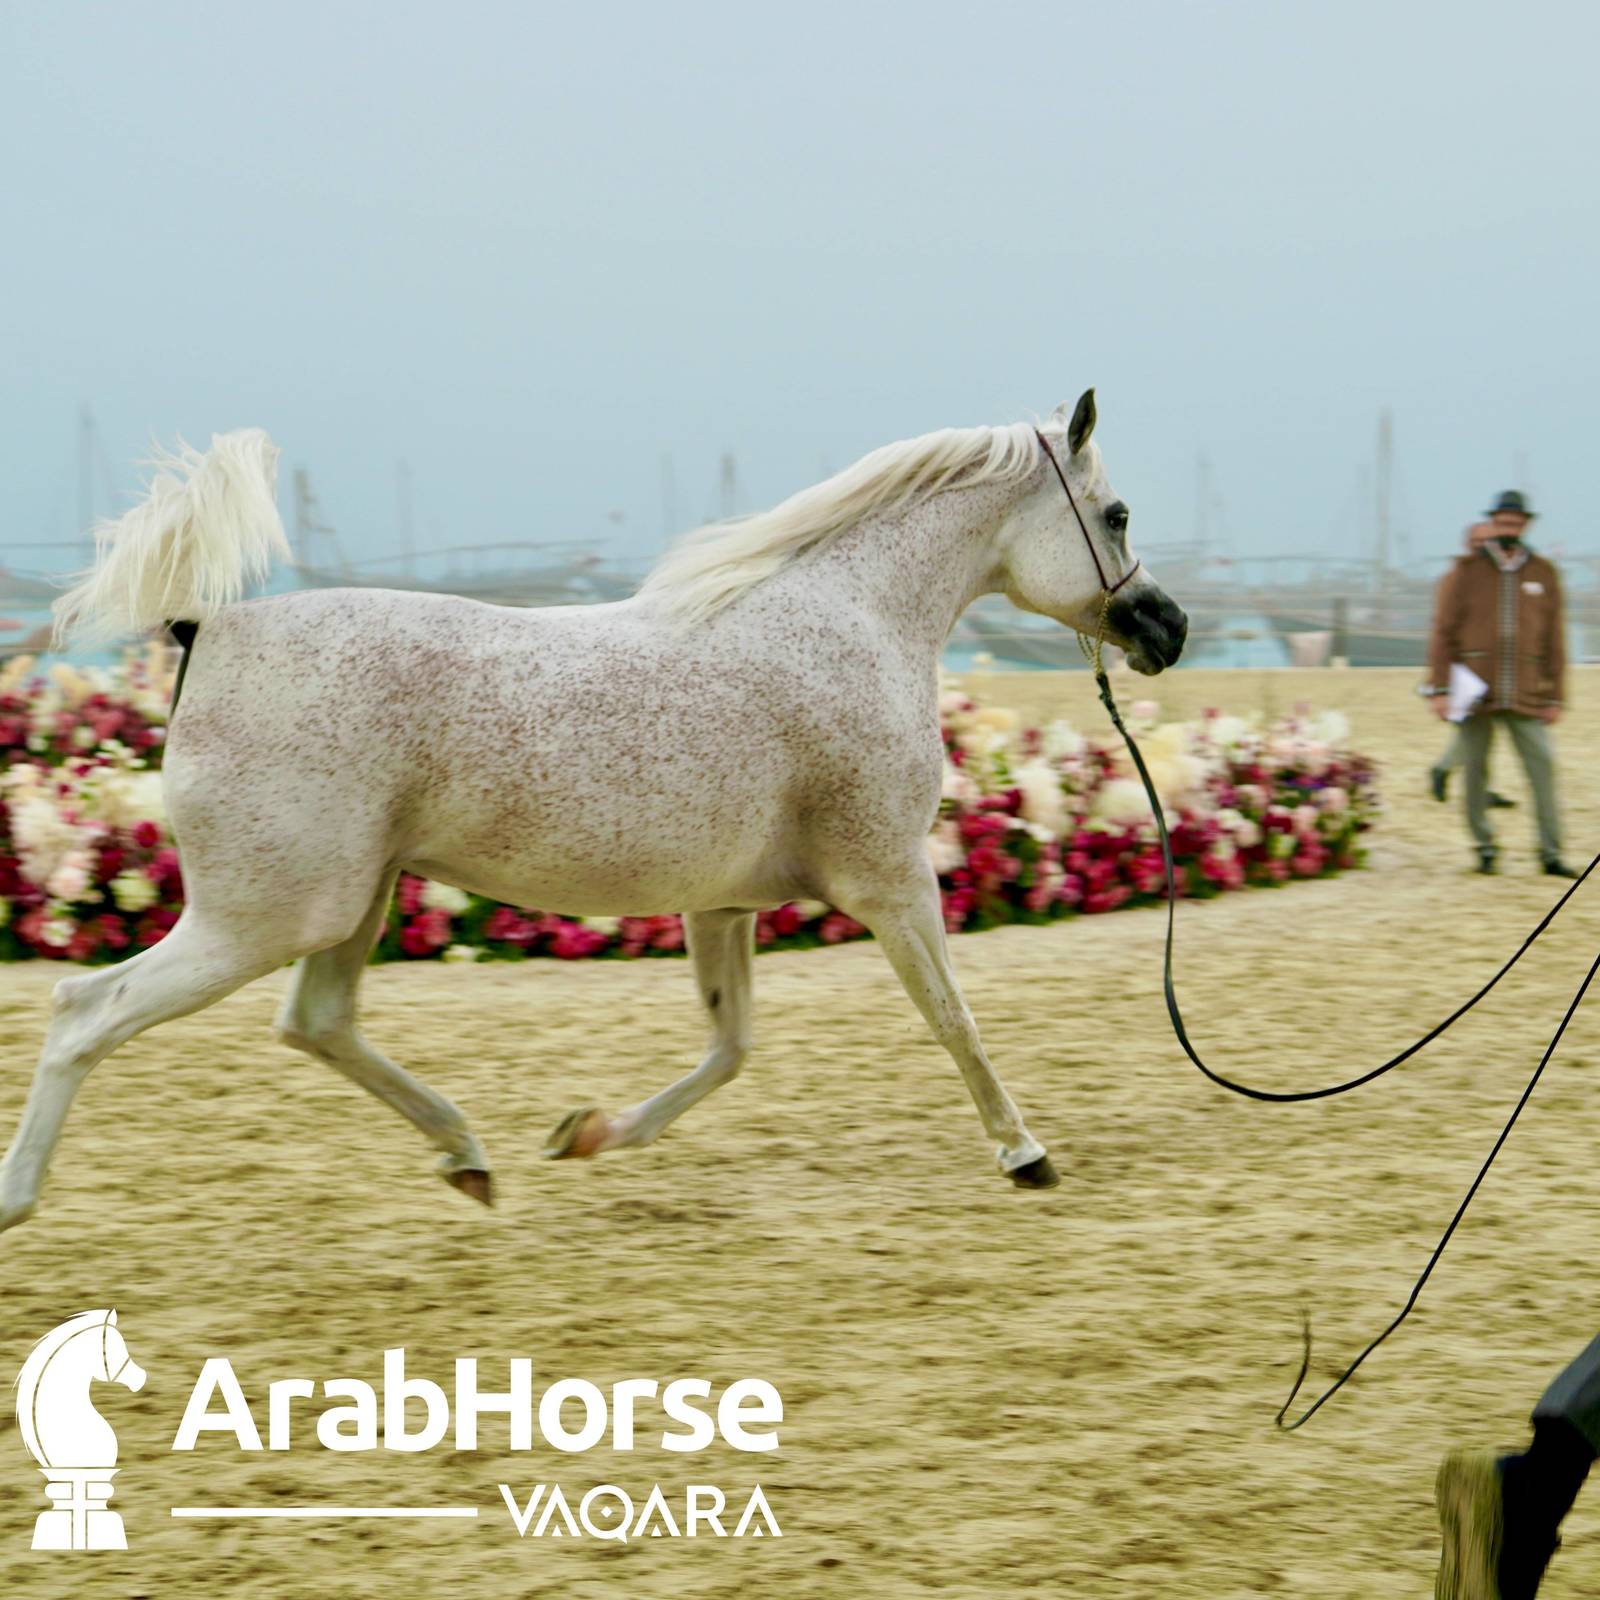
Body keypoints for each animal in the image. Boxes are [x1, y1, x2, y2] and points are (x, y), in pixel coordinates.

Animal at [0, 389, 1185, 1234]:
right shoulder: (892, 881)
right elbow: (953, 1020)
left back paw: (470, 1158)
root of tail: (206, 627)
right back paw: (18, 1201)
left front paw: (587, 1134)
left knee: (317, 1022)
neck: (848, 620)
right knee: (86, 1011)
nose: (1167, 630)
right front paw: (1027, 1155)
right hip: (266, 914)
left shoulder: (725, 906)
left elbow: (729, 1048)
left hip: (347, 901)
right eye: (1118, 511)